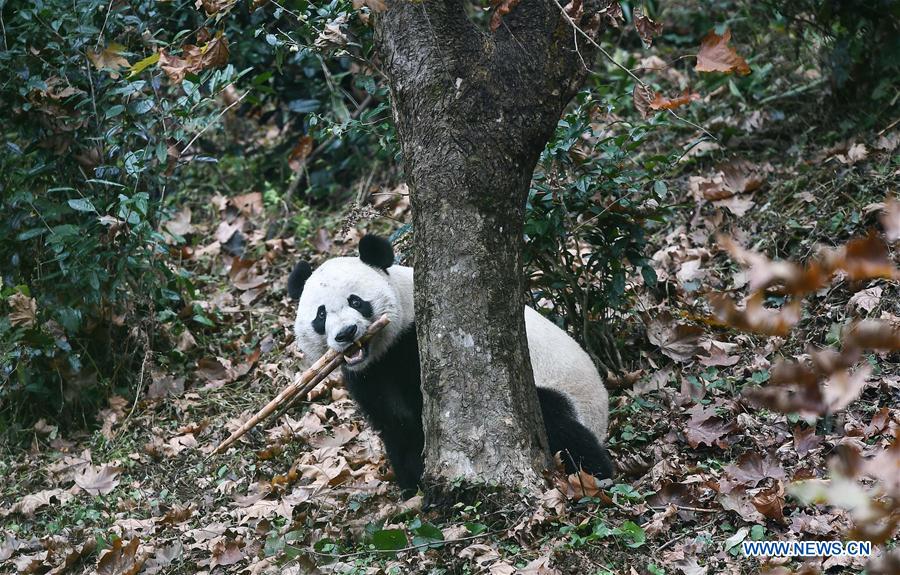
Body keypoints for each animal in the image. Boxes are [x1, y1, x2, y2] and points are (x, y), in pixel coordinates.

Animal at [288, 235, 613, 494]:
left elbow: (422, 412)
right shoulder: (370, 375)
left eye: (356, 301)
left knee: (560, 426)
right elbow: (396, 426)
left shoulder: (415, 344)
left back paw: (596, 474)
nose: (346, 333)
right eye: (320, 315)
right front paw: (413, 487)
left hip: (555, 391)